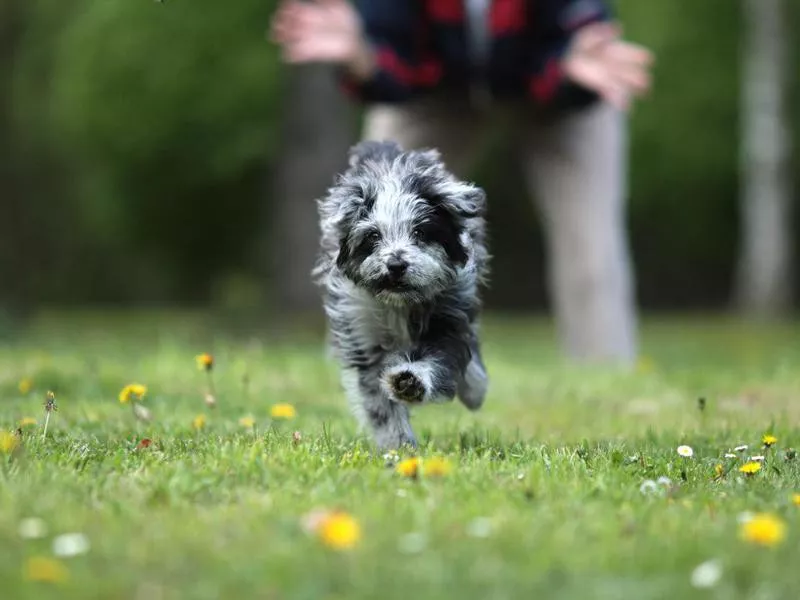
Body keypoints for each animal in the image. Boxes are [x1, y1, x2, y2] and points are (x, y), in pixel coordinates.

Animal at [310, 141, 488, 448]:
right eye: (373, 236)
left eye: (420, 232)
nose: (395, 264)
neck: (400, 304)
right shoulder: (363, 334)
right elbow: (381, 405)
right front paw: (399, 446)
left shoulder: (449, 316)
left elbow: (440, 357)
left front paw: (410, 381)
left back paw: (475, 388)